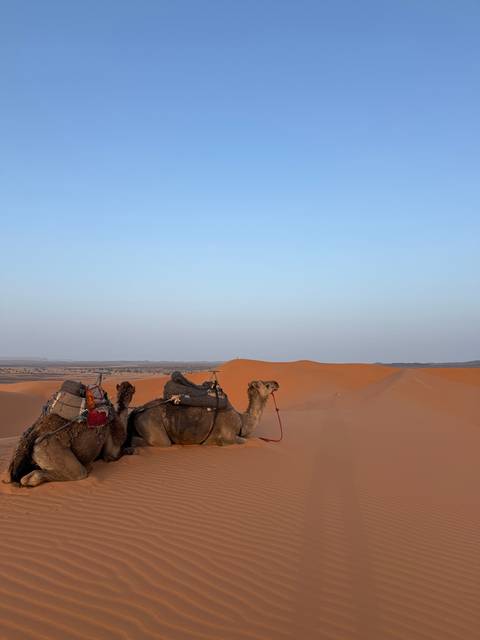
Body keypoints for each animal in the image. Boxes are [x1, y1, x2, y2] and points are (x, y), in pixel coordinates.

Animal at [5, 381, 135, 487]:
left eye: (128, 390)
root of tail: (36, 433)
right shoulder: (110, 451)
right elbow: (117, 454)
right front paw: (129, 450)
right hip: (51, 449)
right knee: (77, 473)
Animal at [126, 380, 279, 448]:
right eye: (266, 385)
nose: (276, 383)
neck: (242, 420)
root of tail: (137, 410)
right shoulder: (228, 436)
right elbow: (243, 441)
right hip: (154, 428)